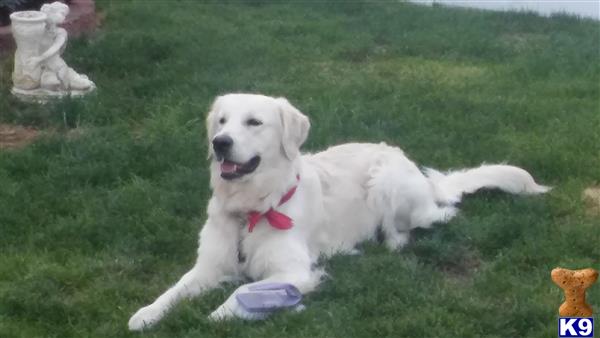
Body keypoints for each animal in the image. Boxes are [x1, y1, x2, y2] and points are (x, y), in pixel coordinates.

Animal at [129, 92, 552, 330]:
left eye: (253, 122)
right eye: (221, 121)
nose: (220, 143)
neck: (250, 208)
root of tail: (415, 169)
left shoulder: (293, 272)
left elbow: (245, 289)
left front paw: (218, 315)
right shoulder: (208, 266)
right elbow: (173, 290)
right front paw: (146, 314)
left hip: (387, 182)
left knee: (427, 221)